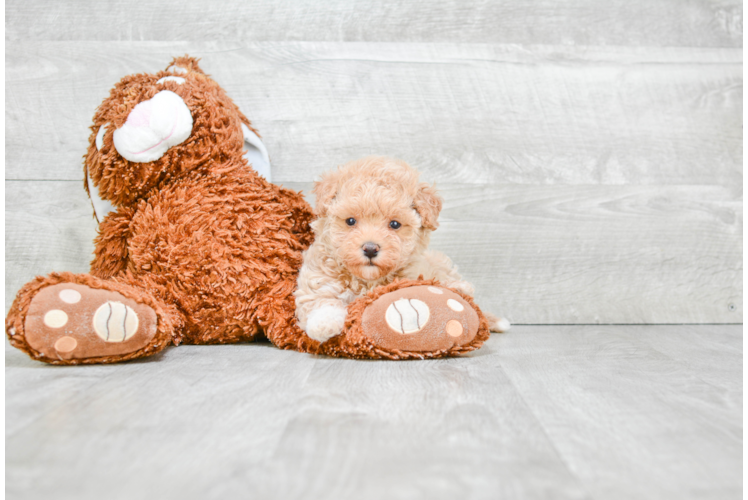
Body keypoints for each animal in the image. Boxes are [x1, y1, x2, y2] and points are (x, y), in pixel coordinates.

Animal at [292, 157, 508, 344]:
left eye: (394, 224)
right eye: (350, 221)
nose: (370, 248)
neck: (367, 280)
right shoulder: (319, 277)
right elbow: (322, 300)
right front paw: (323, 324)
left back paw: (461, 289)